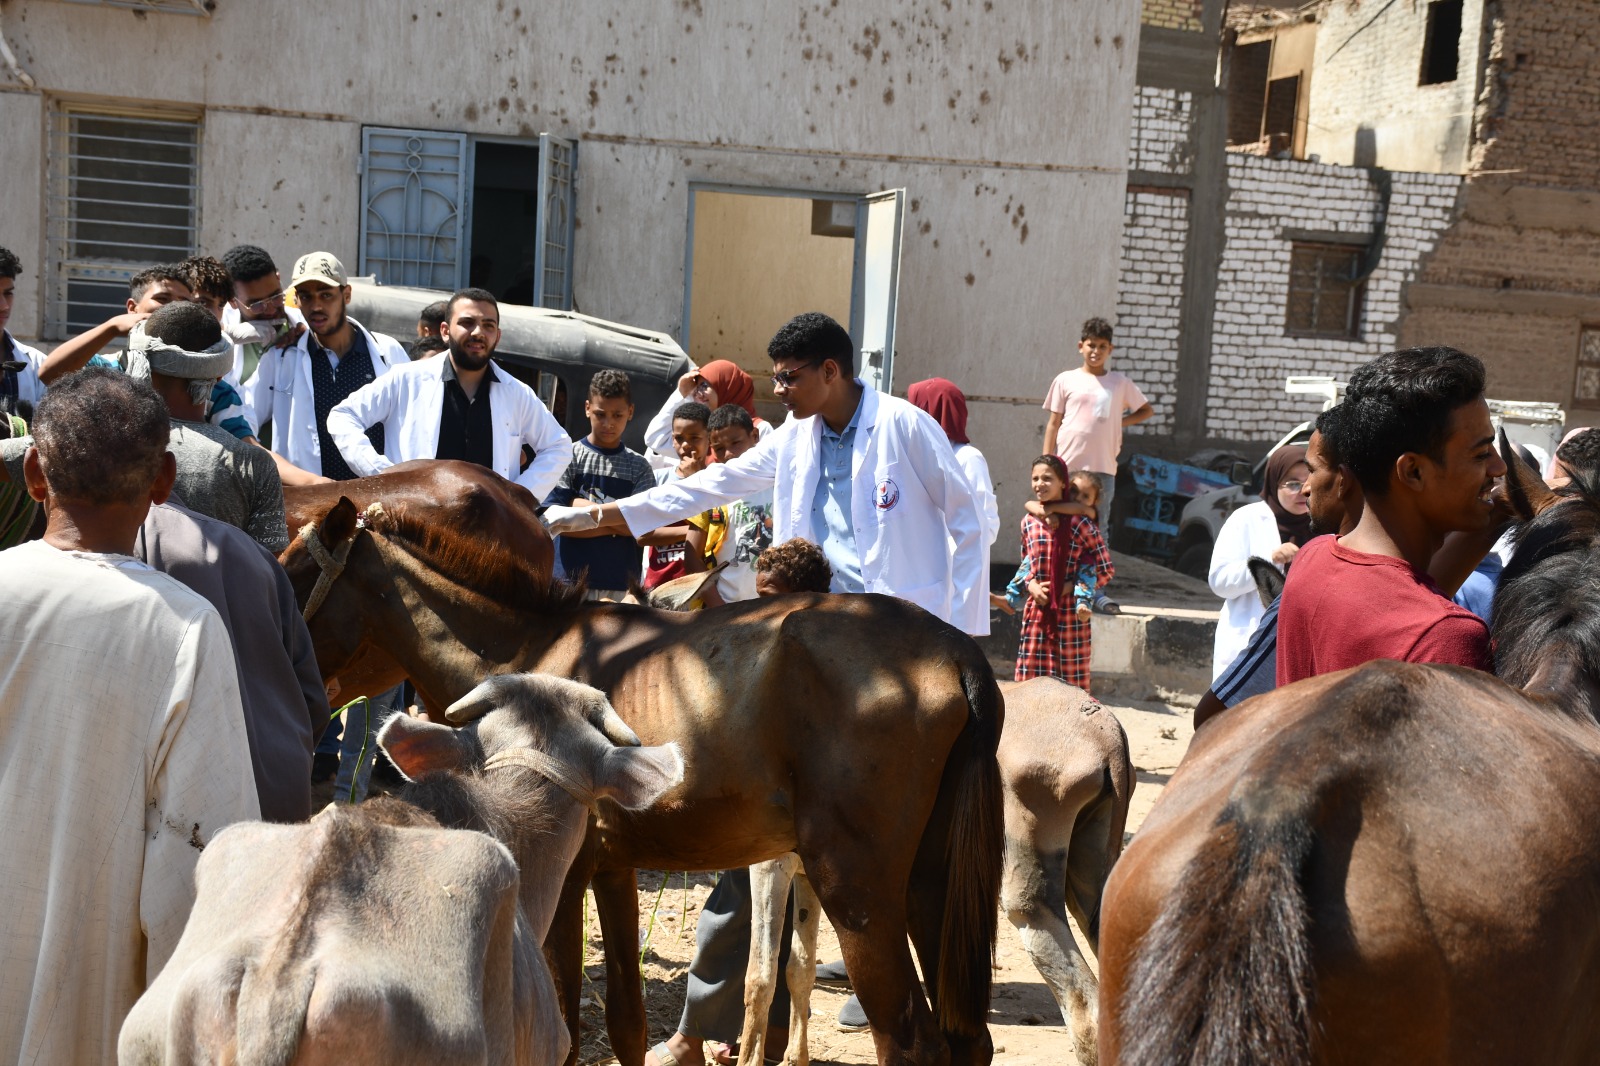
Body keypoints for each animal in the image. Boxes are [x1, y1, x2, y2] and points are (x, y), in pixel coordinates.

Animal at [276, 480, 998, 1062]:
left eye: (292, 574)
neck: (524, 652)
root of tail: (955, 649)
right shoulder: (613, 866)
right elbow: (625, 1022)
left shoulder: (562, 876)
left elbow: (566, 1031)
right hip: (929, 887)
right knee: (968, 1043)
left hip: (858, 891)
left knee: (911, 1043)